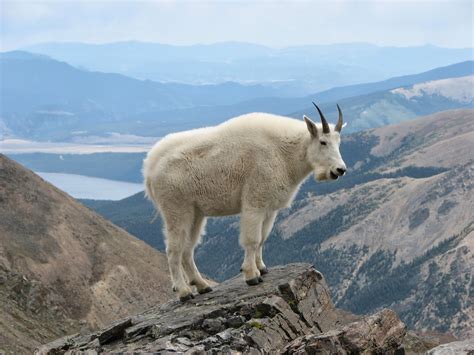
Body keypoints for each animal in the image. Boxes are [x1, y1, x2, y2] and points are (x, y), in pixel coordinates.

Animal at [143, 104, 346, 302]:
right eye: (323, 142)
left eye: (339, 143)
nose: (340, 170)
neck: (285, 152)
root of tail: (149, 168)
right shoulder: (254, 202)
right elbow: (252, 239)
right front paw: (251, 275)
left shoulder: (269, 208)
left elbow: (263, 238)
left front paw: (262, 268)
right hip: (176, 208)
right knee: (173, 250)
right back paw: (184, 292)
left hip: (196, 213)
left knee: (187, 250)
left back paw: (202, 286)